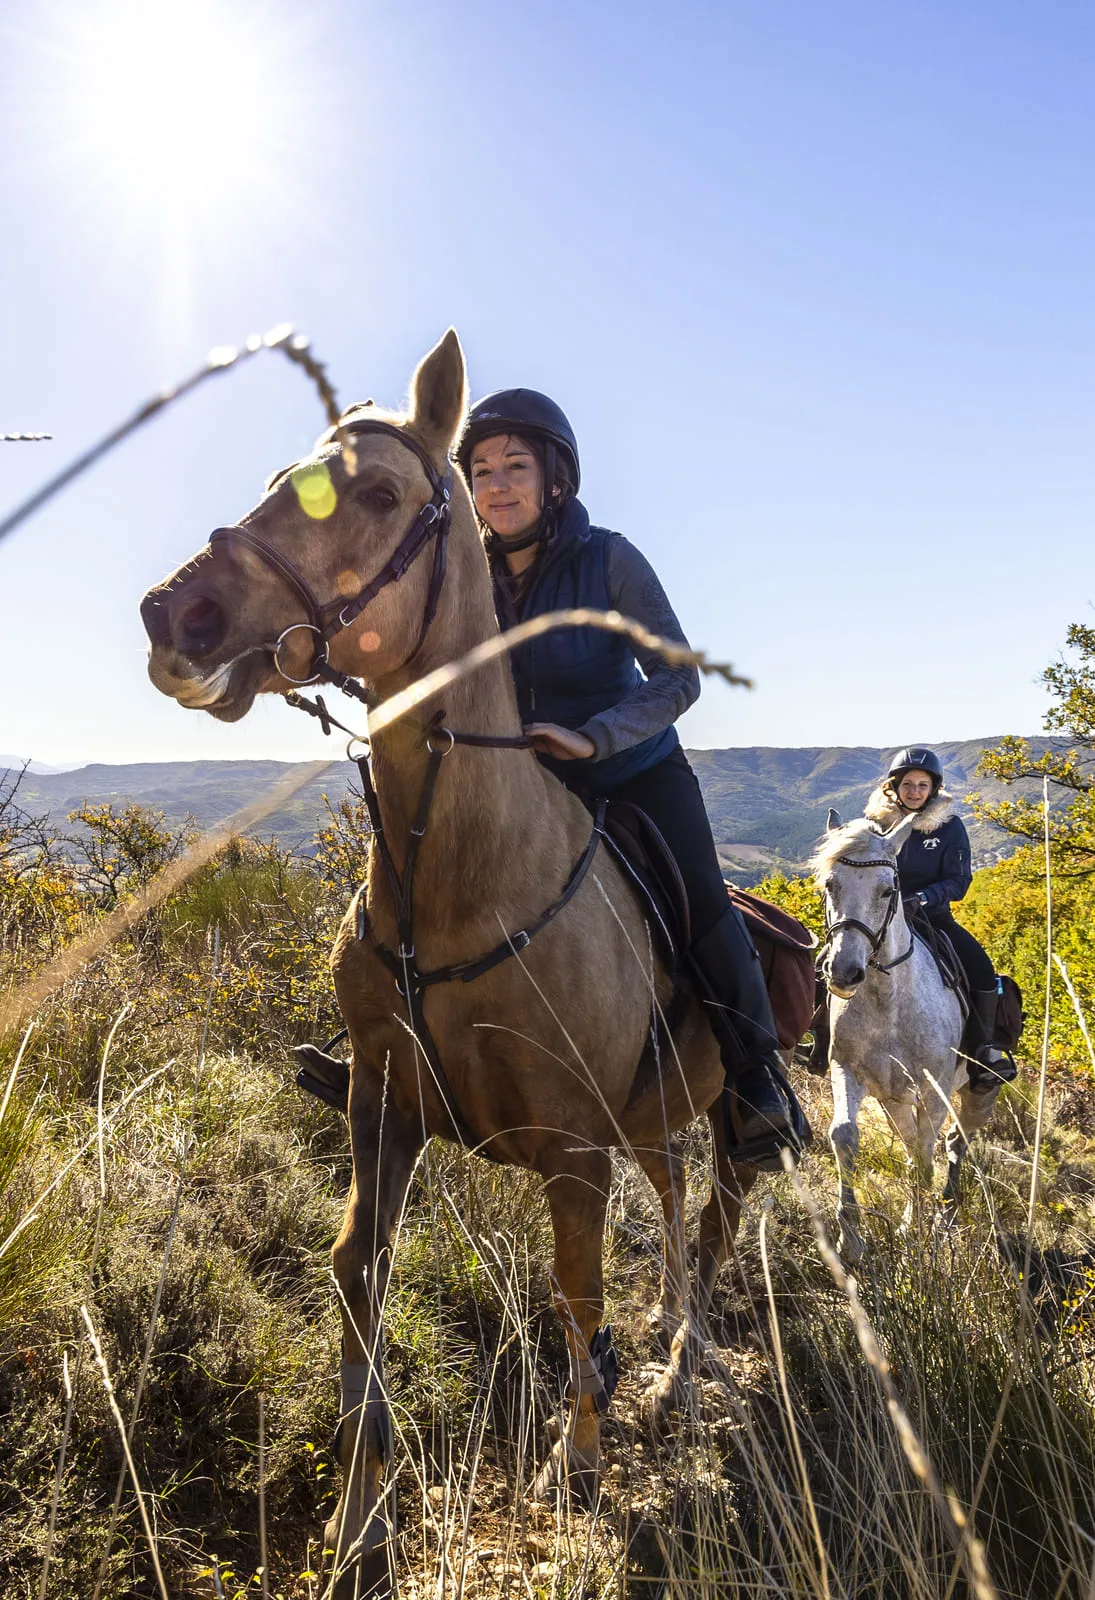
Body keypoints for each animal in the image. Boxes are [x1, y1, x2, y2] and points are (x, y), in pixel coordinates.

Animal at [140, 331, 765, 1593]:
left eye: (376, 495)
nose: (175, 614)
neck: (461, 876)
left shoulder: (573, 1150)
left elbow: (577, 1292)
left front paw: (578, 1460)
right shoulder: (383, 1101)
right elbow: (355, 1273)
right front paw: (362, 1518)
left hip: (724, 1117)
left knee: (712, 1227)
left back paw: (679, 1373)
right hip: (652, 1118)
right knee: (680, 1211)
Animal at [803, 812, 998, 1260]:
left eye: (888, 890)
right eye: (829, 885)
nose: (844, 972)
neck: (888, 1001)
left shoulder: (933, 1090)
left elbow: (927, 1157)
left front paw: (918, 1234)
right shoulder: (848, 1071)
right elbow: (845, 1136)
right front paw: (851, 1238)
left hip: (978, 1095)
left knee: (955, 1143)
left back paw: (945, 1215)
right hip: (894, 1101)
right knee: (915, 1149)